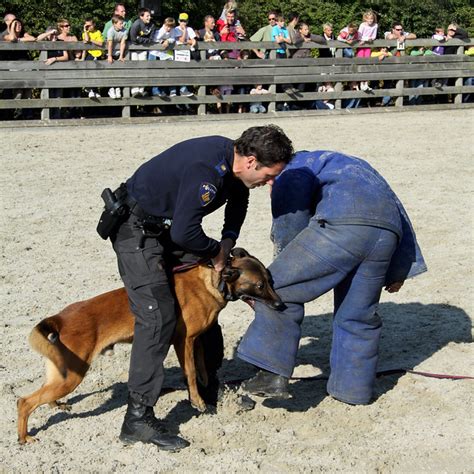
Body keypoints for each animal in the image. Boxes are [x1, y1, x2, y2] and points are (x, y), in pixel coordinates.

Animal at [16, 248, 282, 444]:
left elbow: (203, 369)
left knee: (43, 394)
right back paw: (25, 436)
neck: (212, 282)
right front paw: (197, 401)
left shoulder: (195, 341)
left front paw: (208, 390)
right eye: (260, 286)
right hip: (72, 376)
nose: (281, 305)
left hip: (62, 374)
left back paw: (55, 406)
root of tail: (60, 318)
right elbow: (191, 373)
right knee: (25, 401)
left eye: (270, 280)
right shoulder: (183, 342)